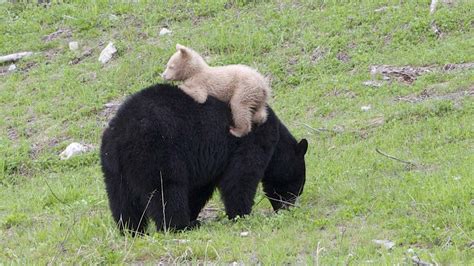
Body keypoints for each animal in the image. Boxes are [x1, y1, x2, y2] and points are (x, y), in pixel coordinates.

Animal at [100, 84, 308, 234]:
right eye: (297, 186)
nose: (288, 207)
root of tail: (121, 134)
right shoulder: (251, 142)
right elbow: (240, 177)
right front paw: (241, 215)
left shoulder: (208, 164)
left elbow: (199, 189)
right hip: (157, 152)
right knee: (167, 191)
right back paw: (180, 227)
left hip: (113, 167)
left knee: (122, 199)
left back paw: (131, 230)